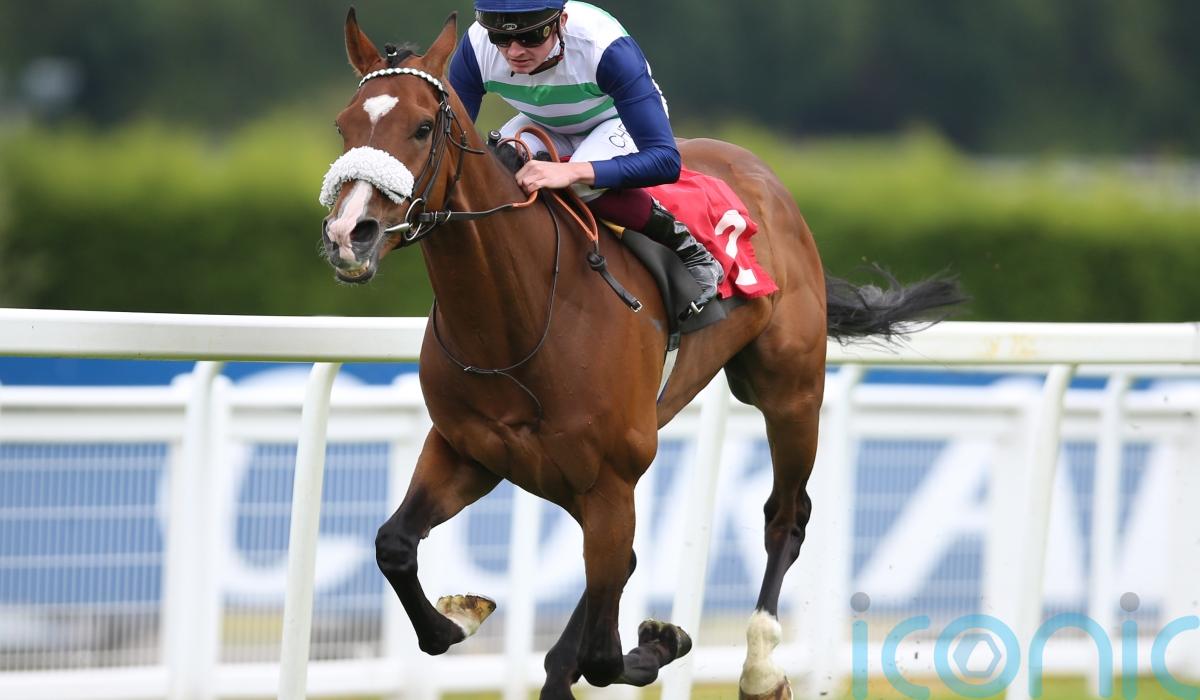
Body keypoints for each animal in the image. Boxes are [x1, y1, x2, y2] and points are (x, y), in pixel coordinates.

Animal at [318, 10, 964, 699]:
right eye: (344, 125)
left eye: (420, 127)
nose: (349, 233)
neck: (517, 321)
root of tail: (760, 172)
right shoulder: (470, 450)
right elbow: (395, 545)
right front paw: (459, 617)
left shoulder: (609, 478)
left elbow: (604, 657)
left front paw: (661, 641)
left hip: (789, 392)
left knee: (784, 516)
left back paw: (761, 666)